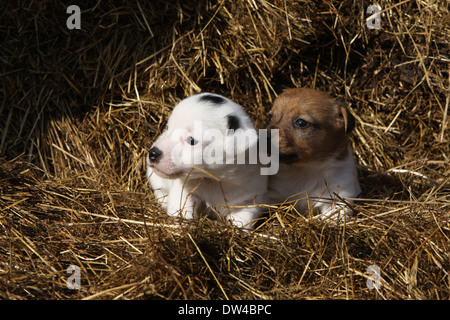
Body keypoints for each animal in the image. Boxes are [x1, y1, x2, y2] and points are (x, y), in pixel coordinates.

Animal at [147, 92, 268, 230]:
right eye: (167, 128)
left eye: (192, 140)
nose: (153, 153)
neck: (214, 180)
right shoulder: (184, 191)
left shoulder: (248, 202)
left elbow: (241, 223)